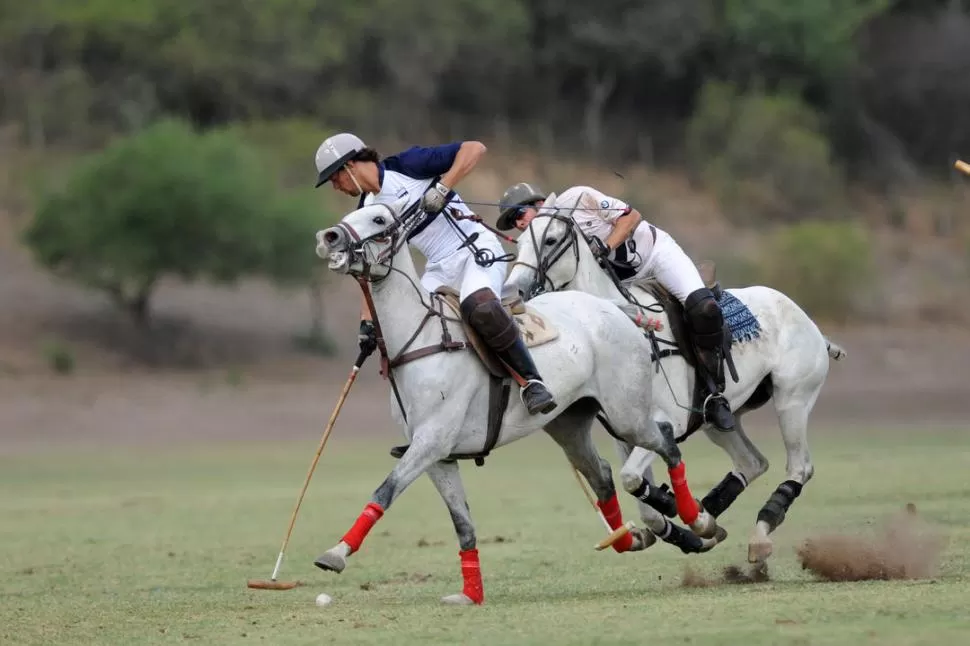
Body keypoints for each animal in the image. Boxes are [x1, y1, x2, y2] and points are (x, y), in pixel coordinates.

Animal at [310, 197, 720, 608]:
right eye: (350, 215)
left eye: (379, 219)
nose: (328, 237)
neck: (421, 340)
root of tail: (614, 308)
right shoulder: (438, 457)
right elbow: (462, 524)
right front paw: (470, 594)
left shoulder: (432, 441)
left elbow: (385, 490)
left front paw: (335, 553)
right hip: (570, 422)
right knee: (603, 473)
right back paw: (634, 535)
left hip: (626, 413)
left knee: (665, 437)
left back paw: (697, 519)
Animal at [502, 191, 844, 560]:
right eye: (519, 242)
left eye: (550, 240)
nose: (512, 293)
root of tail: (808, 320)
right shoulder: (628, 432)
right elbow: (643, 503)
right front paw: (686, 524)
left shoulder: (669, 421)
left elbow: (631, 479)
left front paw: (682, 513)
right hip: (717, 422)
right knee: (752, 462)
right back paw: (708, 518)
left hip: (792, 398)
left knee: (799, 466)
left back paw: (759, 534)